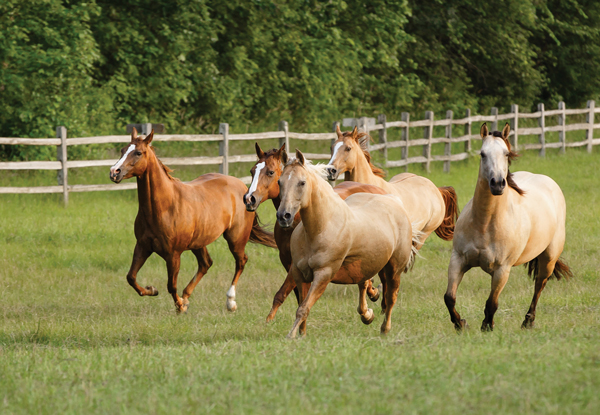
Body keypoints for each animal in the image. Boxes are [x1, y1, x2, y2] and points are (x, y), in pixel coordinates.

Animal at [108, 128, 276, 314]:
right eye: (123, 150)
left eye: (138, 153)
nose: (114, 172)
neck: (164, 206)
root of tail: (247, 192)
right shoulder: (143, 246)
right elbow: (131, 277)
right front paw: (152, 290)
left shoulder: (173, 254)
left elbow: (171, 285)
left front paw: (180, 306)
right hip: (199, 242)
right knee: (206, 263)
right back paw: (187, 297)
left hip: (235, 239)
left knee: (241, 261)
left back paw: (230, 302)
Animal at [241, 143, 386, 322]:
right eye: (252, 171)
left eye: (270, 172)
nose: (249, 199)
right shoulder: (289, 263)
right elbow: (298, 296)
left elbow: (281, 295)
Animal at [276, 150, 418, 338]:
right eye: (280, 181)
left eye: (302, 182)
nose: (283, 216)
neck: (321, 227)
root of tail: (394, 200)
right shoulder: (299, 274)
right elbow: (301, 306)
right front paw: (302, 335)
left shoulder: (323, 274)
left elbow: (303, 308)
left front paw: (291, 336)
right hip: (365, 264)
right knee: (363, 285)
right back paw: (367, 315)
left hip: (394, 269)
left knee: (391, 297)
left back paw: (384, 329)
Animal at [446, 122, 572, 332]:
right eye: (482, 154)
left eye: (506, 153)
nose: (497, 184)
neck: (485, 224)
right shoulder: (458, 259)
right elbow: (449, 297)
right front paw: (461, 324)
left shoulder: (502, 269)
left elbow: (491, 303)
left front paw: (487, 327)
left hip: (548, 258)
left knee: (539, 285)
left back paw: (528, 321)